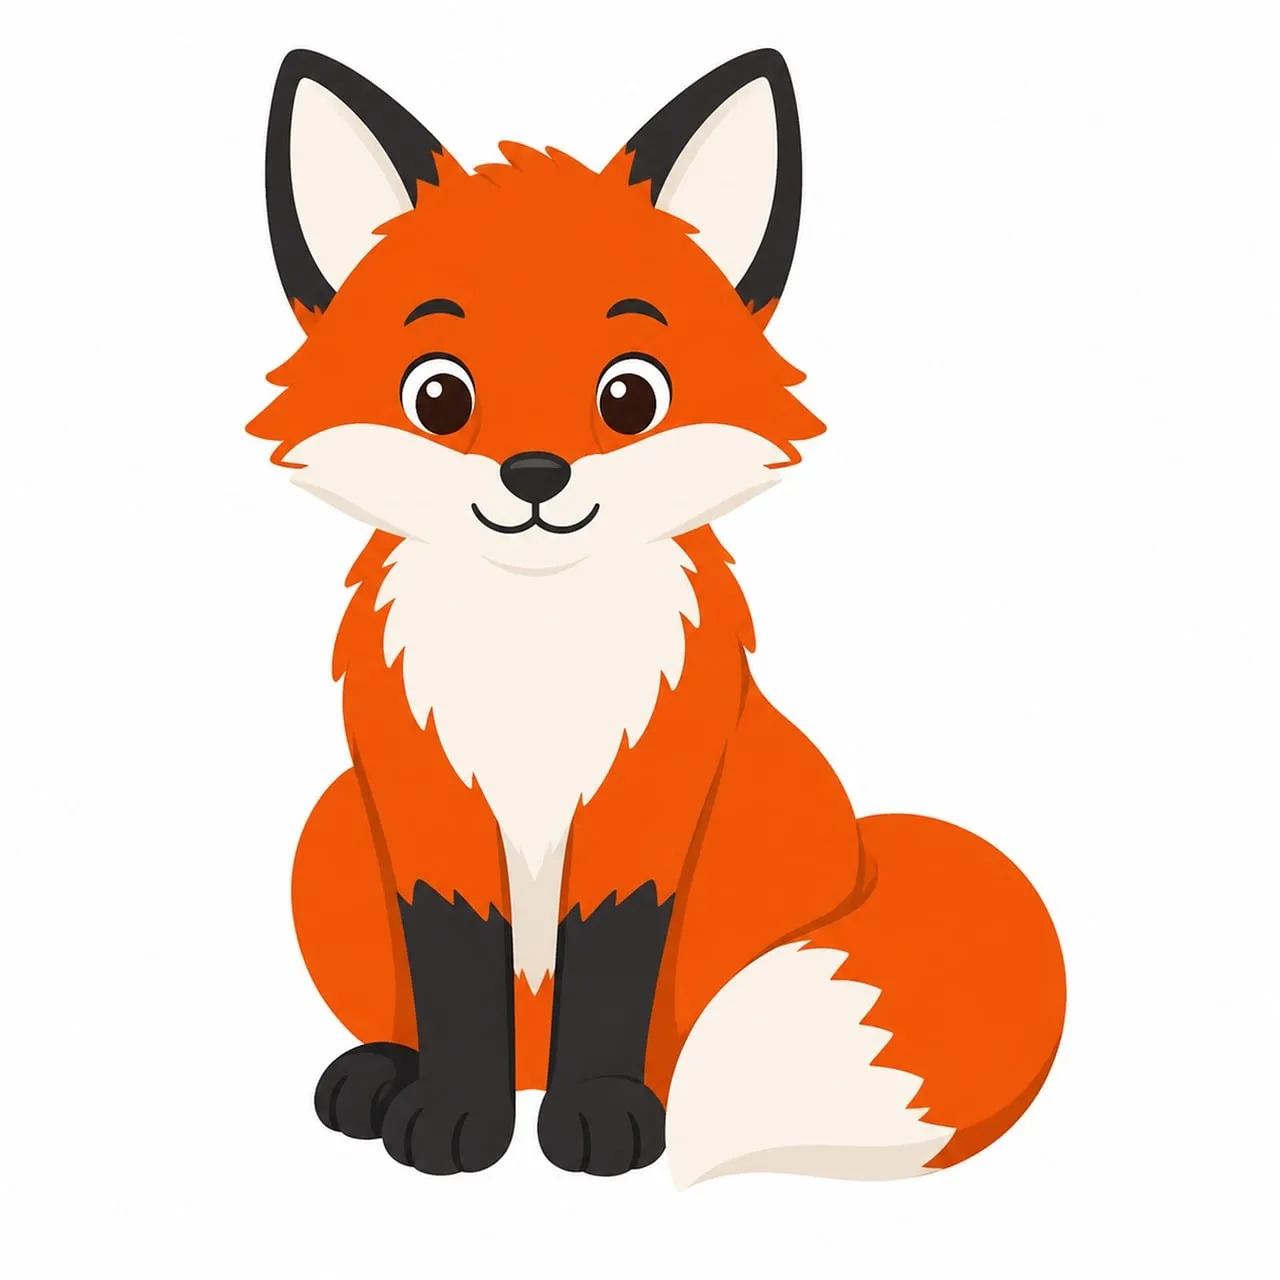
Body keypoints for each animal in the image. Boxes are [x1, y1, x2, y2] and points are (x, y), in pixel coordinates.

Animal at [248, 47, 1066, 1186]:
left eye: (628, 396)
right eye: (439, 397)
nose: (534, 474)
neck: (536, 656)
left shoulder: (645, 806)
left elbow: (609, 971)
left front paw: (598, 1116)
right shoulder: (428, 812)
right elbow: (452, 971)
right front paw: (453, 1112)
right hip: (330, 825)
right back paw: (383, 1076)